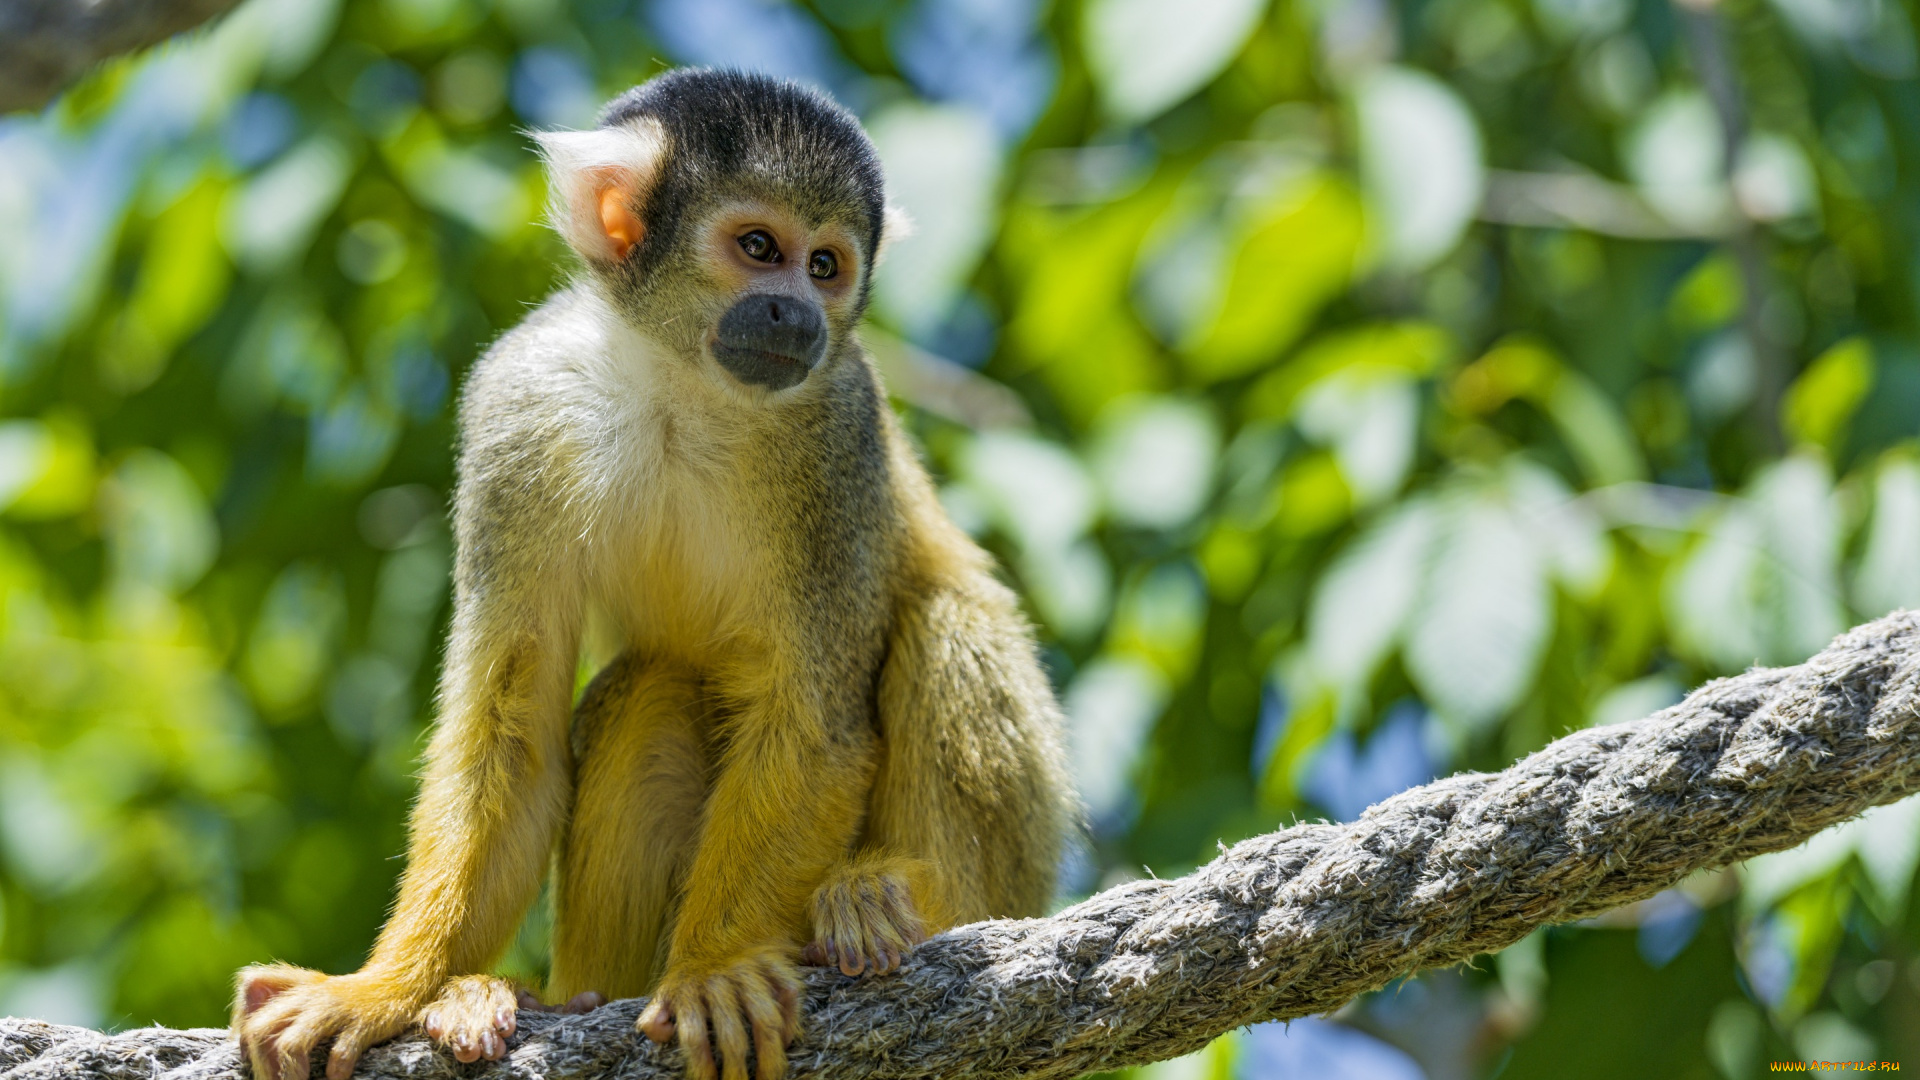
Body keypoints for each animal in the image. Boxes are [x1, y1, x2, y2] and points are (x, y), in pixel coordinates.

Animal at [232, 67, 1075, 1076]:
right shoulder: (517, 407)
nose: (798, 313)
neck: (684, 385)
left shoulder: (841, 428)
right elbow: (511, 729)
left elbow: (813, 723)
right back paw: (553, 995)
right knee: (651, 688)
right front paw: (381, 989)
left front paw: (714, 967)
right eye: (760, 248)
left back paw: (902, 906)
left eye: (826, 266)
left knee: (948, 617)